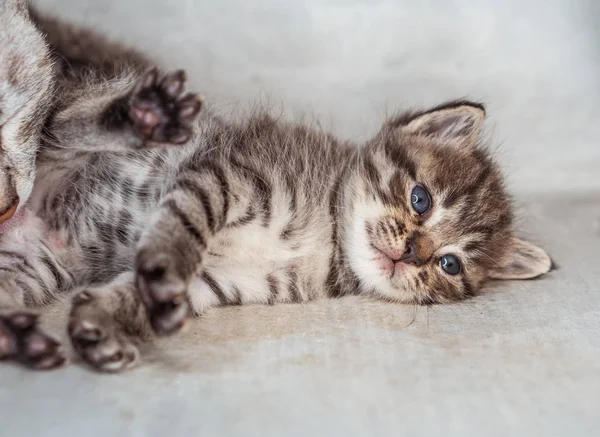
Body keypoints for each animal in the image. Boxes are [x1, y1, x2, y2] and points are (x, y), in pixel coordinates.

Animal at [1, 0, 552, 372]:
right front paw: (162, 264)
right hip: (52, 136)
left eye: (449, 265)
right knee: (62, 124)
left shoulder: (229, 280)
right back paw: (139, 115)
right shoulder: (227, 173)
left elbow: (146, 293)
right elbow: (182, 232)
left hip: (29, 269)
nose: (413, 253)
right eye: (421, 200)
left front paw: (103, 322)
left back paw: (19, 338)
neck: (327, 238)